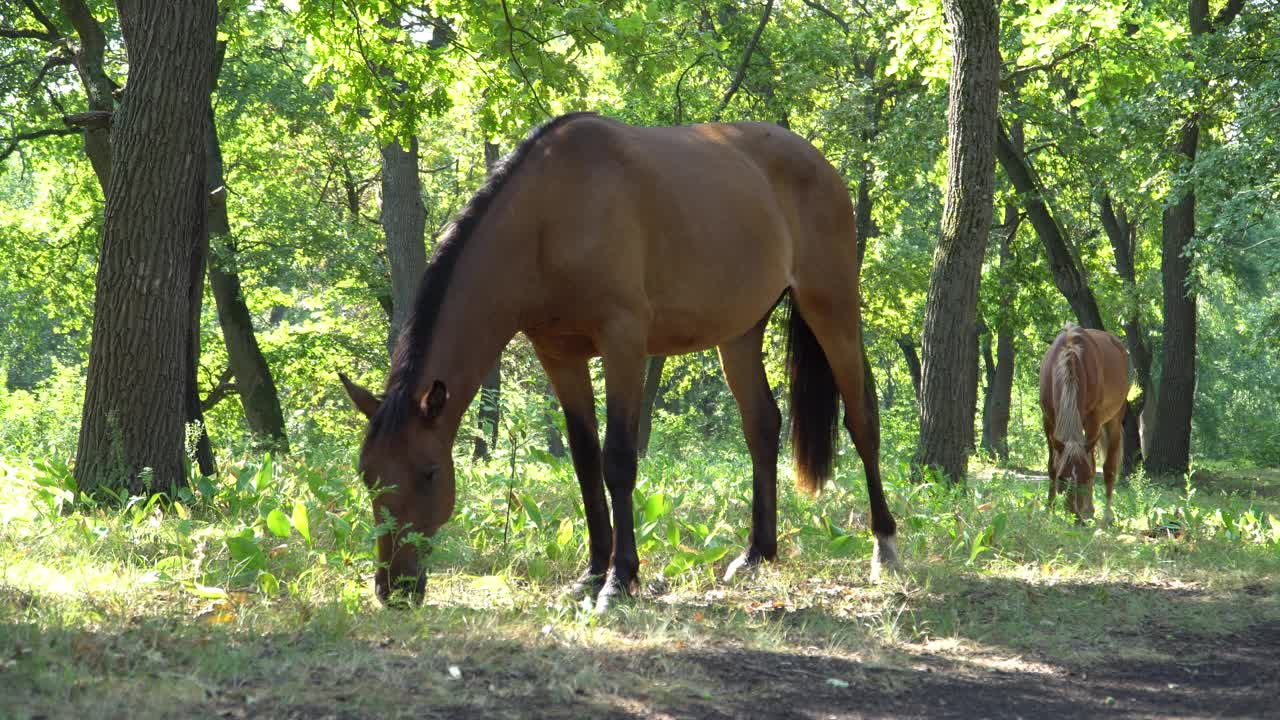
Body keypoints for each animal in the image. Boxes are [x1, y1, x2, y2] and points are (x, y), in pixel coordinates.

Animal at [340, 110, 901, 604]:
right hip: (740, 333)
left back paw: (885, 548)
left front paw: (620, 578)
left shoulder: (624, 342)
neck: (549, 214)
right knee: (762, 425)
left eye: (430, 473)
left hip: (832, 308)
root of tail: (818, 162)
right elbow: (586, 462)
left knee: (861, 422)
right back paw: (756, 554)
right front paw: (592, 571)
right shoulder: (559, 355)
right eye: (368, 476)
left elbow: (618, 461)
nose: (393, 589)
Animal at [1039, 322, 1131, 525]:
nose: (1076, 517)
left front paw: (1088, 509)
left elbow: (1092, 464)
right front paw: (1049, 510)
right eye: (1062, 478)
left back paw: (1105, 514)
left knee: (1108, 468)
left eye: (1085, 477)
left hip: (1113, 420)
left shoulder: (1093, 420)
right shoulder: (1048, 420)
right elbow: (1051, 465)